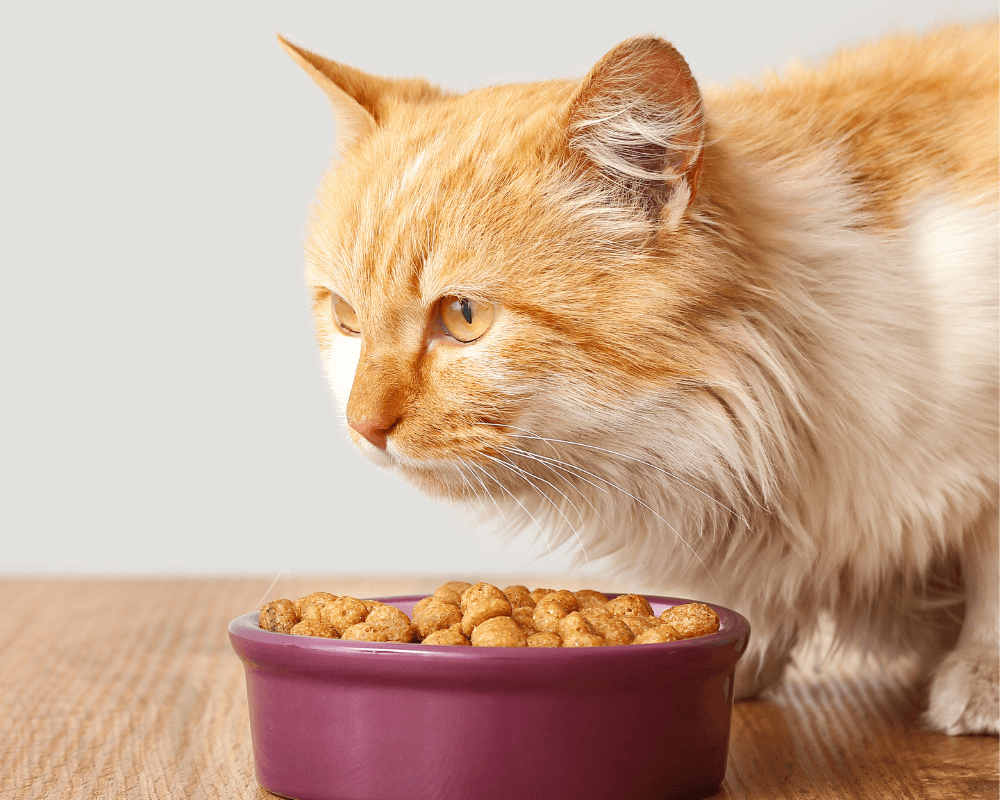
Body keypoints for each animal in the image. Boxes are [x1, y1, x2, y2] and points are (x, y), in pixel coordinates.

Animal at [280, 23, 1000, 736]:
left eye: (464, 317)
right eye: (346, 318)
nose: (363, 425)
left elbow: (990, 574)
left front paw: (980, 678)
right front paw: (744, 650)